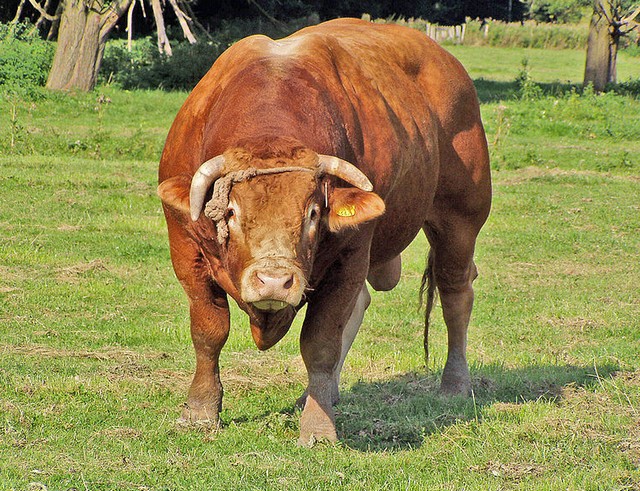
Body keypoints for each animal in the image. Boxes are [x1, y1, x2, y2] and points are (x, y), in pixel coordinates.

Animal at [157, 18, 491, 445]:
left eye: (314, 213)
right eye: (230, 211)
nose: (274, 281)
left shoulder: (350, 257)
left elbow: (320, 342)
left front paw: (318, 429)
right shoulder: (185, 248)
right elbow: (209, 331)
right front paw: (199, 411)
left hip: (460, 219)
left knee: (455, 295)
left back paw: (455, 383)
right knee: (366, 302)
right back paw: (324, 392)